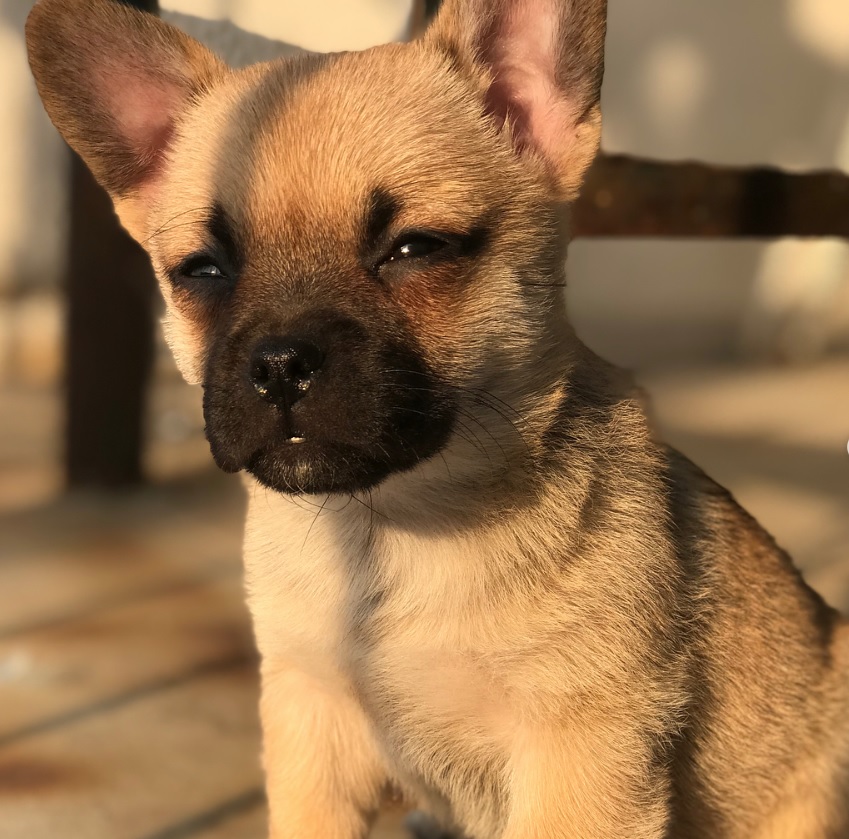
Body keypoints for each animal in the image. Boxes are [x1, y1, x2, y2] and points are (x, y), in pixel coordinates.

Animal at [26, 1, 848, 839]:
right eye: (203, 272)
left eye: (414, 249)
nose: (278, 363)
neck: (386, 530)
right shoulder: (310, 733)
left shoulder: (578, 759)